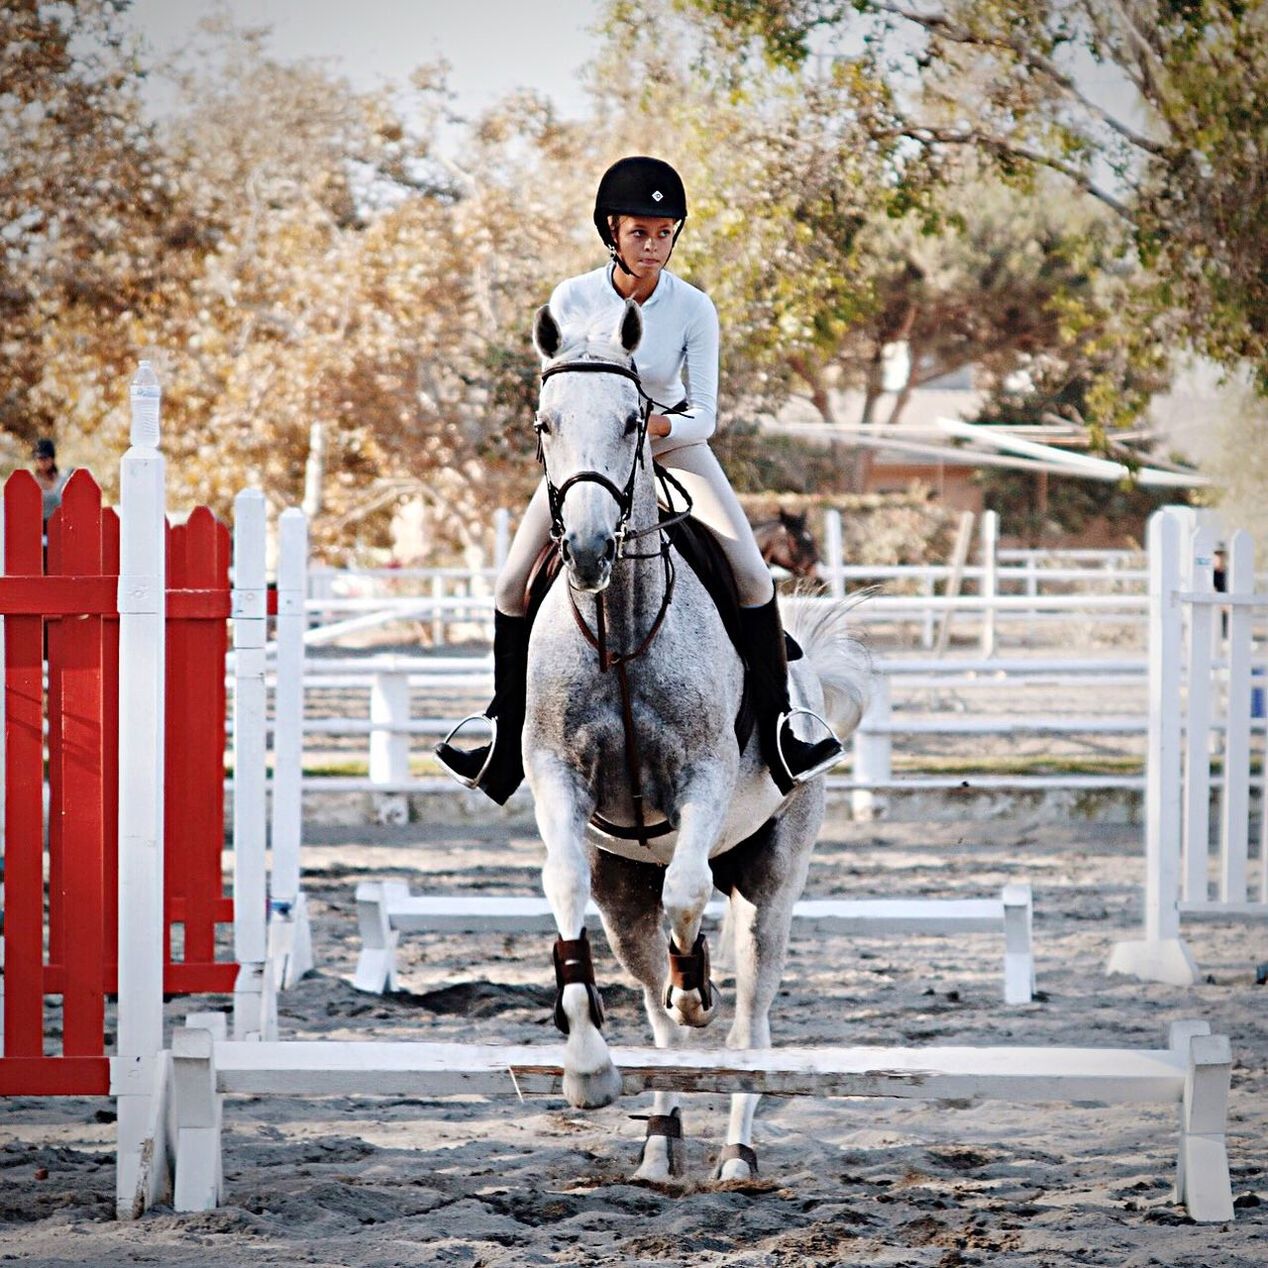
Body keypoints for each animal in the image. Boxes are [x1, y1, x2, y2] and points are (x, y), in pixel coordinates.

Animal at [519, 296, 867, 1176]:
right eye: (545, 423)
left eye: (635, 419)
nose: (587, 549)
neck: (618, 628)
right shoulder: (556, 779)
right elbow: (564, 886)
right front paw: (585, 1069)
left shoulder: (703, 780)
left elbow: (687, 892)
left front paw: (695, 982)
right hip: (622, 892)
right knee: (657, 1020)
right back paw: (658, 1143)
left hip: (772, 881)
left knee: (749, 1022)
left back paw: (736, 1147)